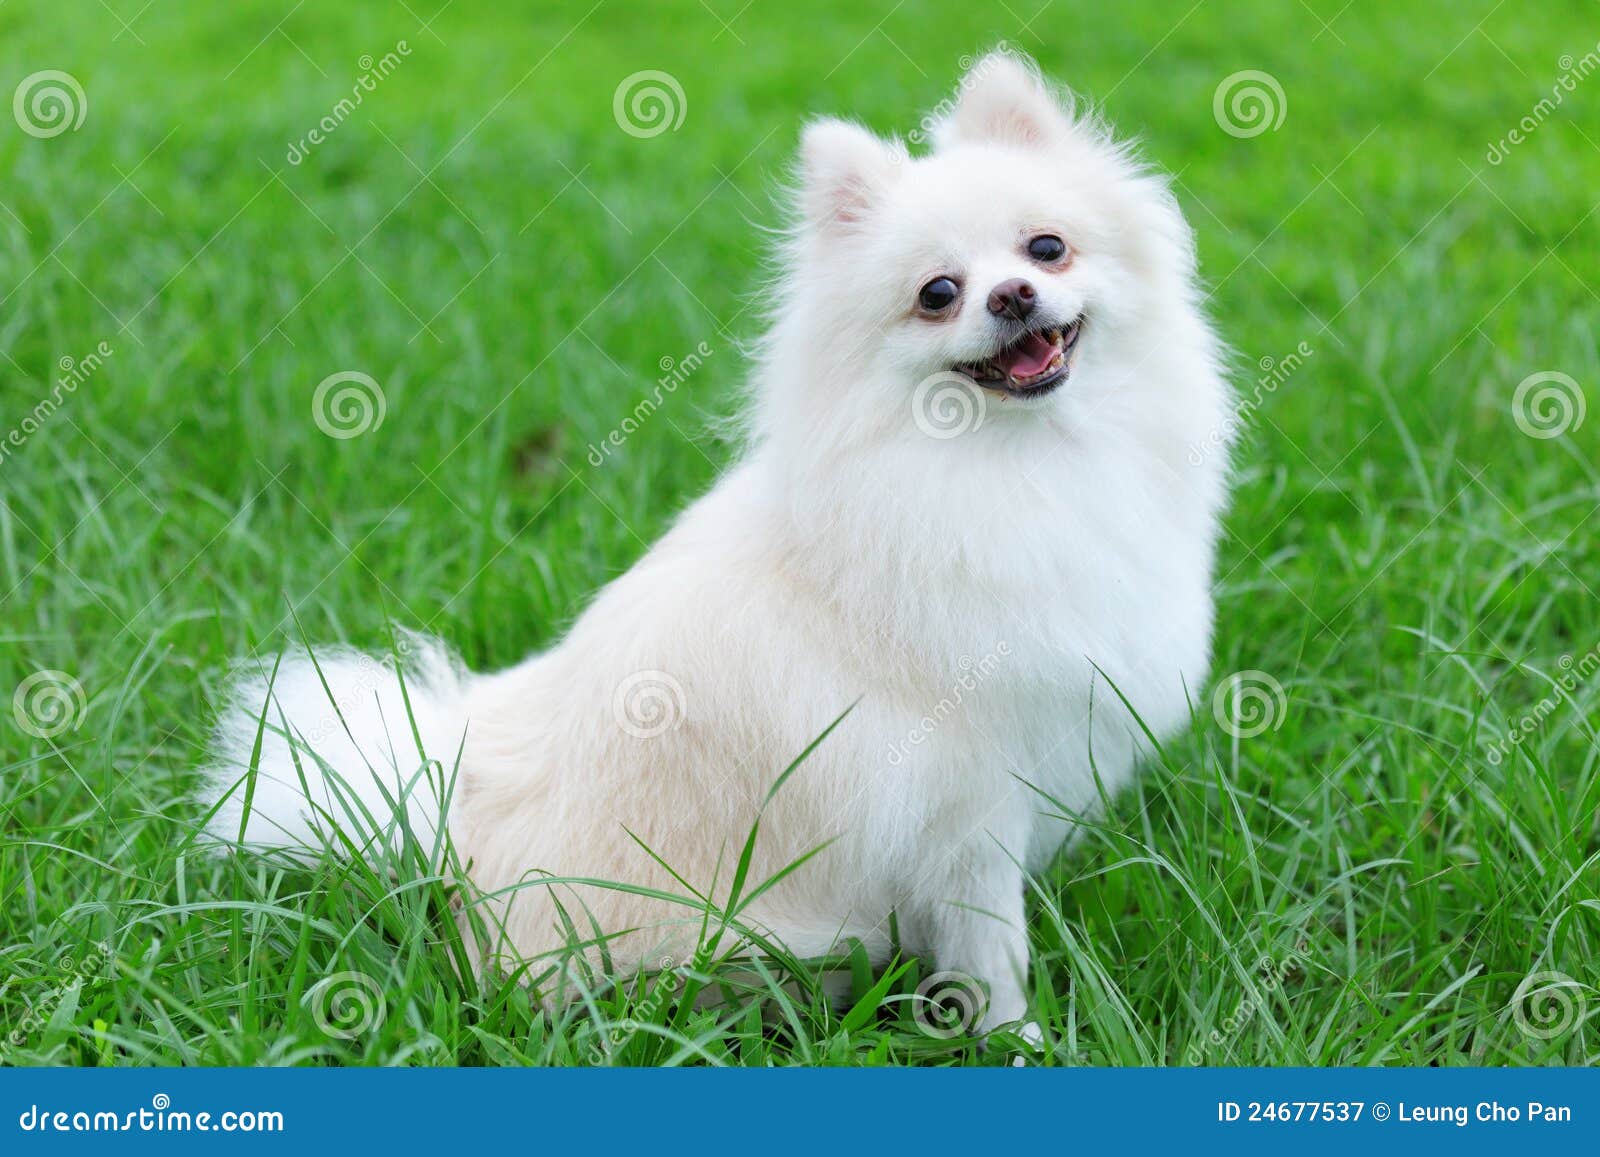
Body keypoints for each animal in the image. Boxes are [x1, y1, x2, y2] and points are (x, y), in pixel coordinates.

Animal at [196, 49, 1222, 1036]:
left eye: (1047, 246)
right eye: (937, 294)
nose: (1012, 294)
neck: (1011, 461)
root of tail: (452, 819)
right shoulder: (968, 803)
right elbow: (992, 947)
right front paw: (1019, 1039)